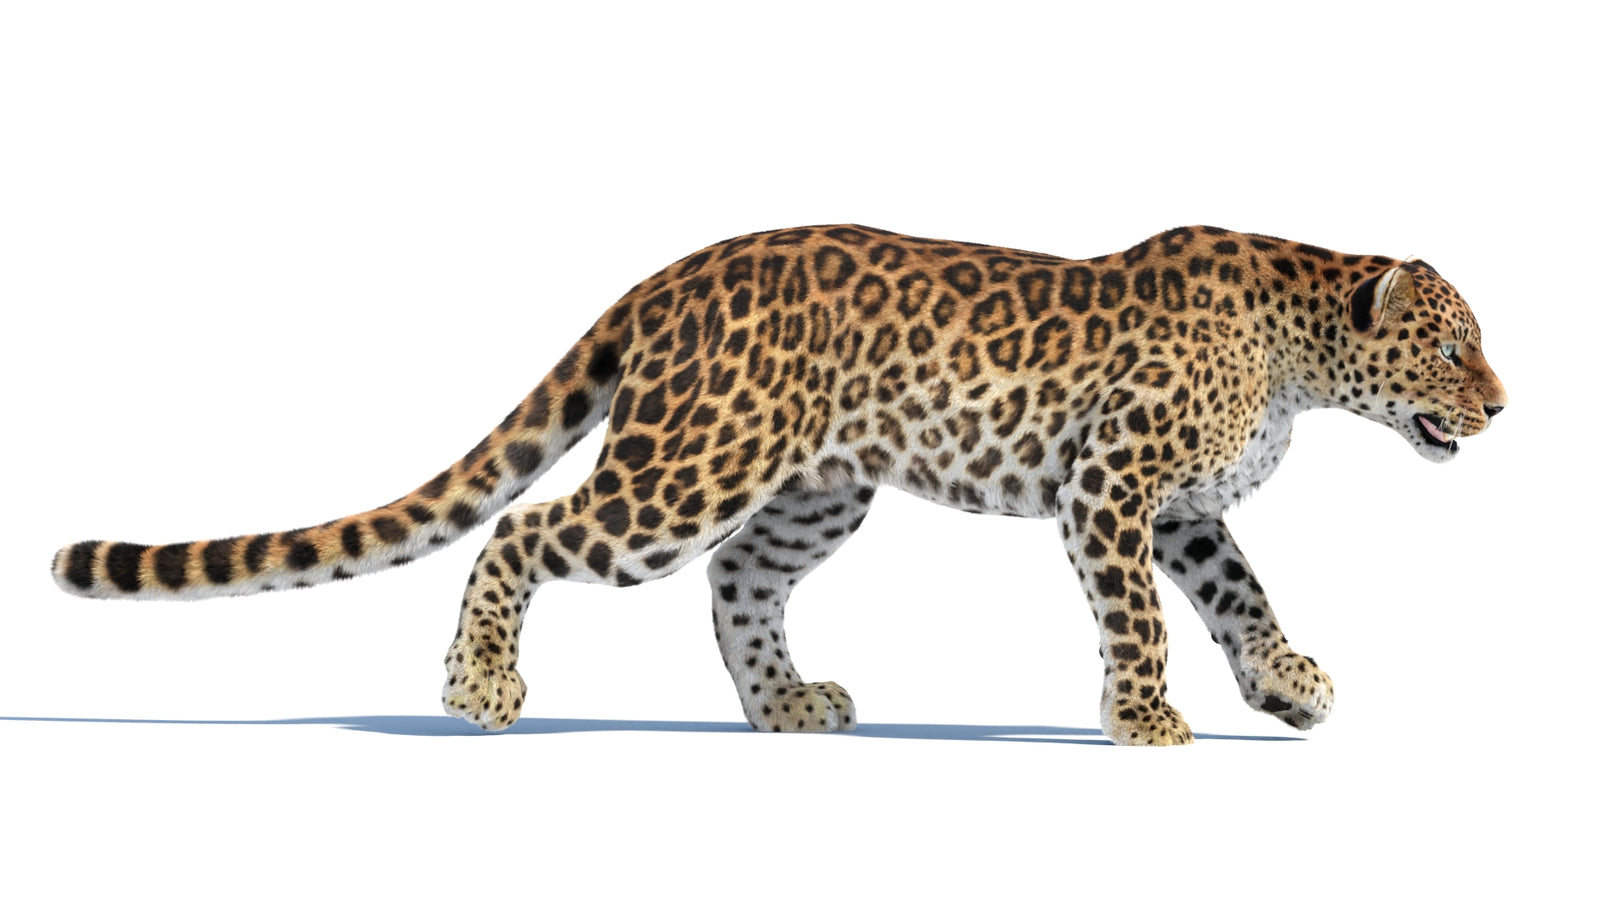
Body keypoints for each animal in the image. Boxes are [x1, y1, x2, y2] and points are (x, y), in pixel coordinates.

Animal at [51, 224, 1508, 745]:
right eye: (1451, 346)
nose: (1502, 406)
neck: (1301, 354)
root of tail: (670, 274)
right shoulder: (1113, 485)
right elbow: (1142, 621)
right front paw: (1147, 721)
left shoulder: (1186, 509)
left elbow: (1244, 598)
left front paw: (1290, 687)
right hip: (688, 467)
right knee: (526, 528)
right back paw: (479, 690)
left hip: (815, 488)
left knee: (740, 583)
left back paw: (788, 706)